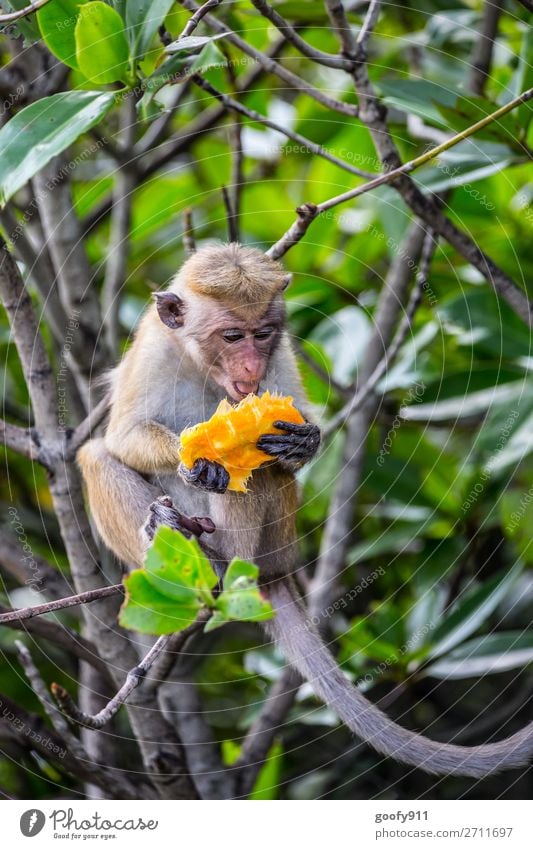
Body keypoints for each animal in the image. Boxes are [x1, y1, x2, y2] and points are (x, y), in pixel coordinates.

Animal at [78, 242, 532, 780]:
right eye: (232, 335)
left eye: (263, 333)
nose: (251, 368)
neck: (202, 366)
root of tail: (276, 570)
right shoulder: (153, 349)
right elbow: (122, 437)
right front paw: (198, 459)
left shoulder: (280, 358)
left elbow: (287, 427)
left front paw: (304, 441)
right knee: (95, 456)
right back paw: (172, 538)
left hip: (275, 541)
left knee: (261, 467)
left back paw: (227, 563)